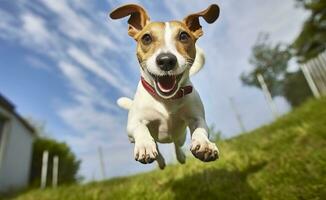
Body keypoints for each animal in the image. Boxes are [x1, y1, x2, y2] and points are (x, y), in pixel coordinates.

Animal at [109, 3, 219, 168]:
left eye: (183, 36)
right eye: (146, 38)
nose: (166, 60)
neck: (166, 100)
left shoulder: (196, 117)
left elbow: (201, 129)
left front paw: (205, 144)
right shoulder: (133, 125)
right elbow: (140, 128)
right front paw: (145, 145)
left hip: (180, 136)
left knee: (176, 144)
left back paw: (180, 157)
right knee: (157, 146)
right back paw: (159, 160)